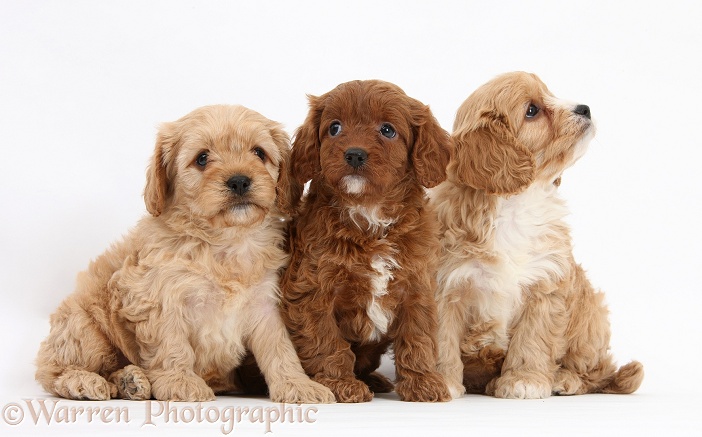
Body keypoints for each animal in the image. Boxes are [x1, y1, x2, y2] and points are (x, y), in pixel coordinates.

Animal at [34, 104, 336, 402]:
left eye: (259, 153)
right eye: (202, 158)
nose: (239, 181)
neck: (225, 243)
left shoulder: (264, 301)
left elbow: (279, 348)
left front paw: (297, 385)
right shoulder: (158, 298)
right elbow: (171, 344)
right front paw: (180, 382)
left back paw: (130, 382)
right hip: (85, 330)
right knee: (53, 372)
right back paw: (86, 381)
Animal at [284, 79, 454, 402]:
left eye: (387, 130)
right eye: (334, 127)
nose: (354, 154)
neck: (368, 214)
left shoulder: (417, 288)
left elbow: (418, 338)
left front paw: (423, 383)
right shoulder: (313, 293)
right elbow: (327, 343)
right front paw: (340, 384)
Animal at [432, 72, 648, 398]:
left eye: (551, 93)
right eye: (532, 110)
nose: (584, 108)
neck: (515, 206)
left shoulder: (546, 285)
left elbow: (532, 341)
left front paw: (524, 380)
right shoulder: (445, 286)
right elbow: (441, 340)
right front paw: (440, 382)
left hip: (590, 320)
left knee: (597, 373)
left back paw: (565, 379)